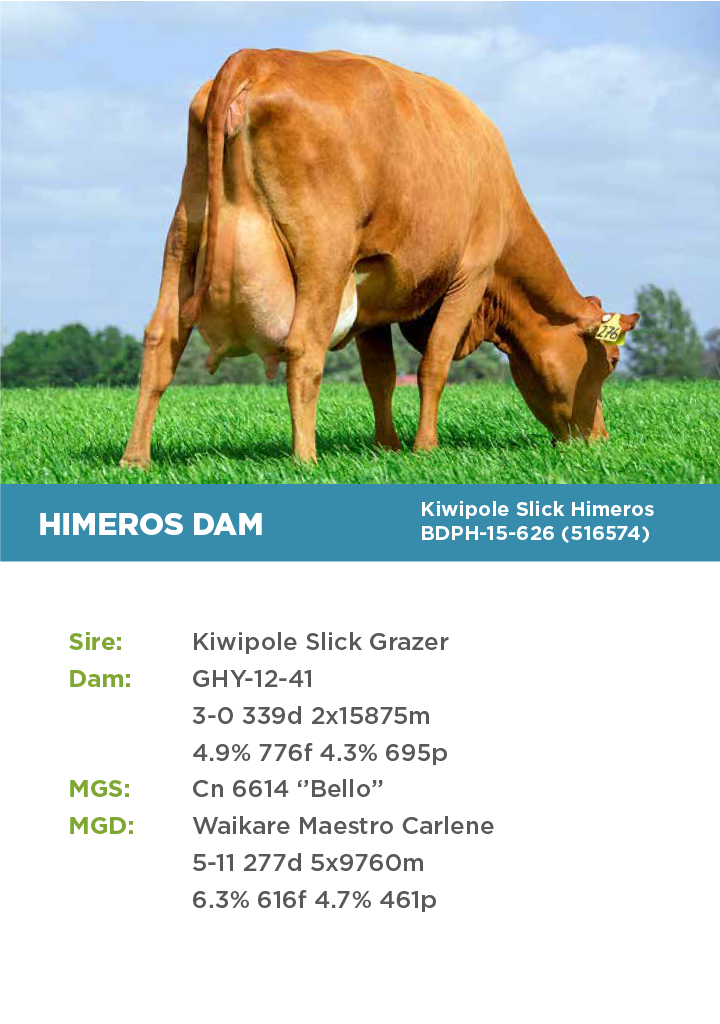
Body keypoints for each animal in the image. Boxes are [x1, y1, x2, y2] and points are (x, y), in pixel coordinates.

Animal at [121, 48, 639, 468]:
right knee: (303, 348)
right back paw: (305, 459)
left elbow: (381, 376)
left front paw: (386, 447)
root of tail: (256, 57)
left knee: (161, 340)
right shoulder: (471, 274)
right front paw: (424, 448)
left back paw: (136, 458)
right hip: (323, 255)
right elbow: (434, 364)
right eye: (611, 360)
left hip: (183, 240)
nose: (600, 439)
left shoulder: (373, 295)